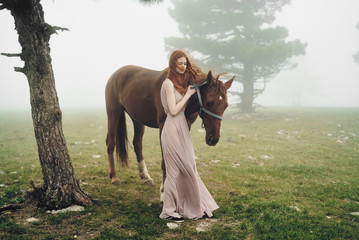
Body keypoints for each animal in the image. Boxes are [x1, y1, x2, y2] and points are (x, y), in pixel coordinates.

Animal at [105, 64, 233, 192]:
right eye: (209, 103)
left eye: (226, 106)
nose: (213, 139)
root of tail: (115, 74)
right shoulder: (163, 125)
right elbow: (165, 159)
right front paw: (164, 189)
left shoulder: (186, 125)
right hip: (113, 114)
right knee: (110, 142)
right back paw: (114, 177)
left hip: (137, 119)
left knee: (137, 144)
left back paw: (145, 177)